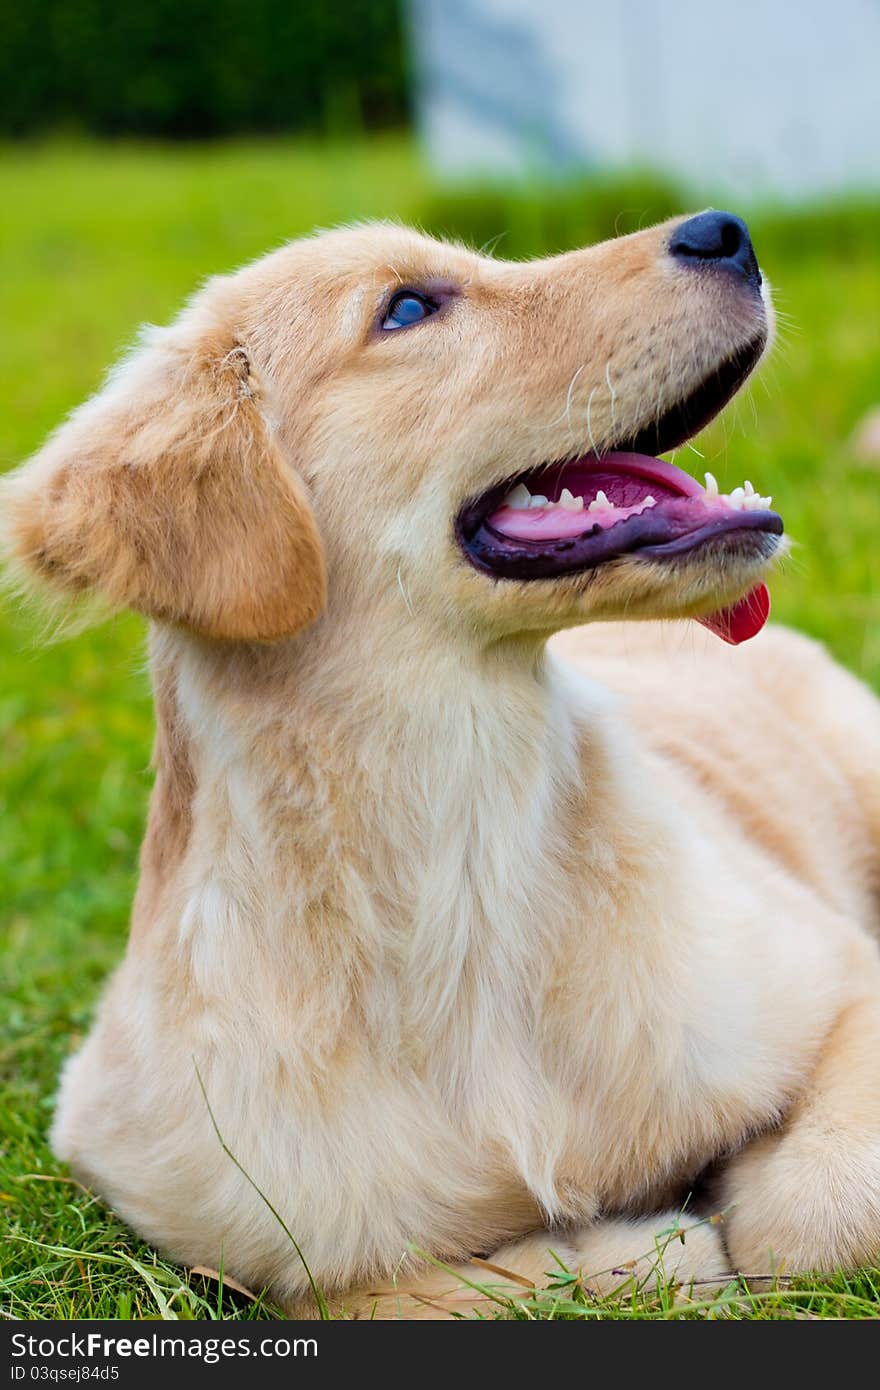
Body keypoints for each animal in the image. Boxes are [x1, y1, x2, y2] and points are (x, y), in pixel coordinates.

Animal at [1, 208, 878, 1312]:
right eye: (408, 307)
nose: (726, 229)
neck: (464, 862)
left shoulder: (836, 969)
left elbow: (807, 1216)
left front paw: (735, 1195)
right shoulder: (193, 1204)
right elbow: (400, 1290)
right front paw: (636, 1253)